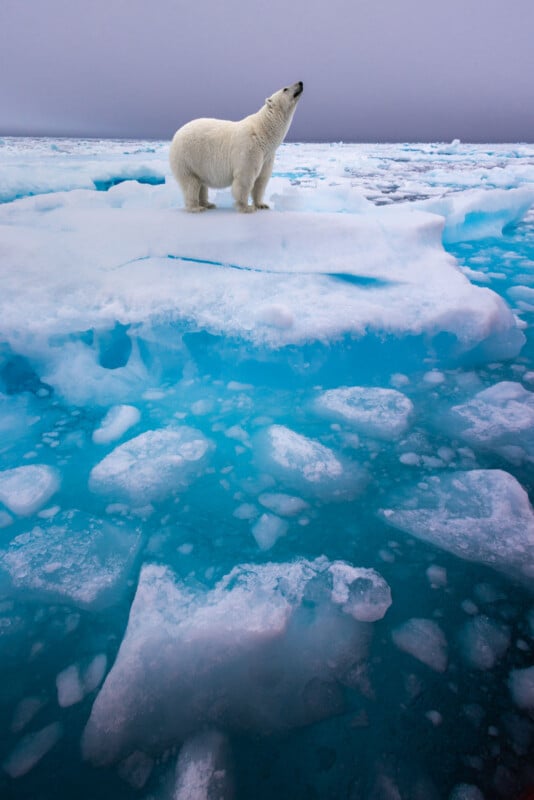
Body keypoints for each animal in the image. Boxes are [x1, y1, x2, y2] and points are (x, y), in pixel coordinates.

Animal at [169, 81, 303, 213]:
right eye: (285, 88)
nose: (300, 83)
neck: (263, 132)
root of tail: (176, 134)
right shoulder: (249, 149)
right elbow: (245, 178)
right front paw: (246, 207)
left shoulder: (267, 156)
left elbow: (261, 180)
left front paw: (261, 205)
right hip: (187, 158)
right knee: (191, 183)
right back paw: (196, 207)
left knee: (201, 184)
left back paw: (208, 204)